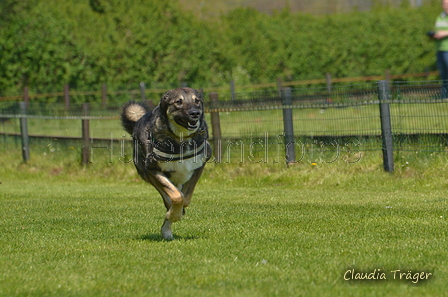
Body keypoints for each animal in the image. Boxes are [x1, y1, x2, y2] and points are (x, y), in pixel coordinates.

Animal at [121, 86, 212, 239]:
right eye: (178, 102)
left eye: (197, 101)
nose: (195, 113)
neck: (180, 137)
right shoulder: (154, 170)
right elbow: (176, 197)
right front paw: (173, 214)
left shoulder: (198, 167)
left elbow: (186, 198)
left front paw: (177, 213)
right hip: (148, 175)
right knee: (168, 198)